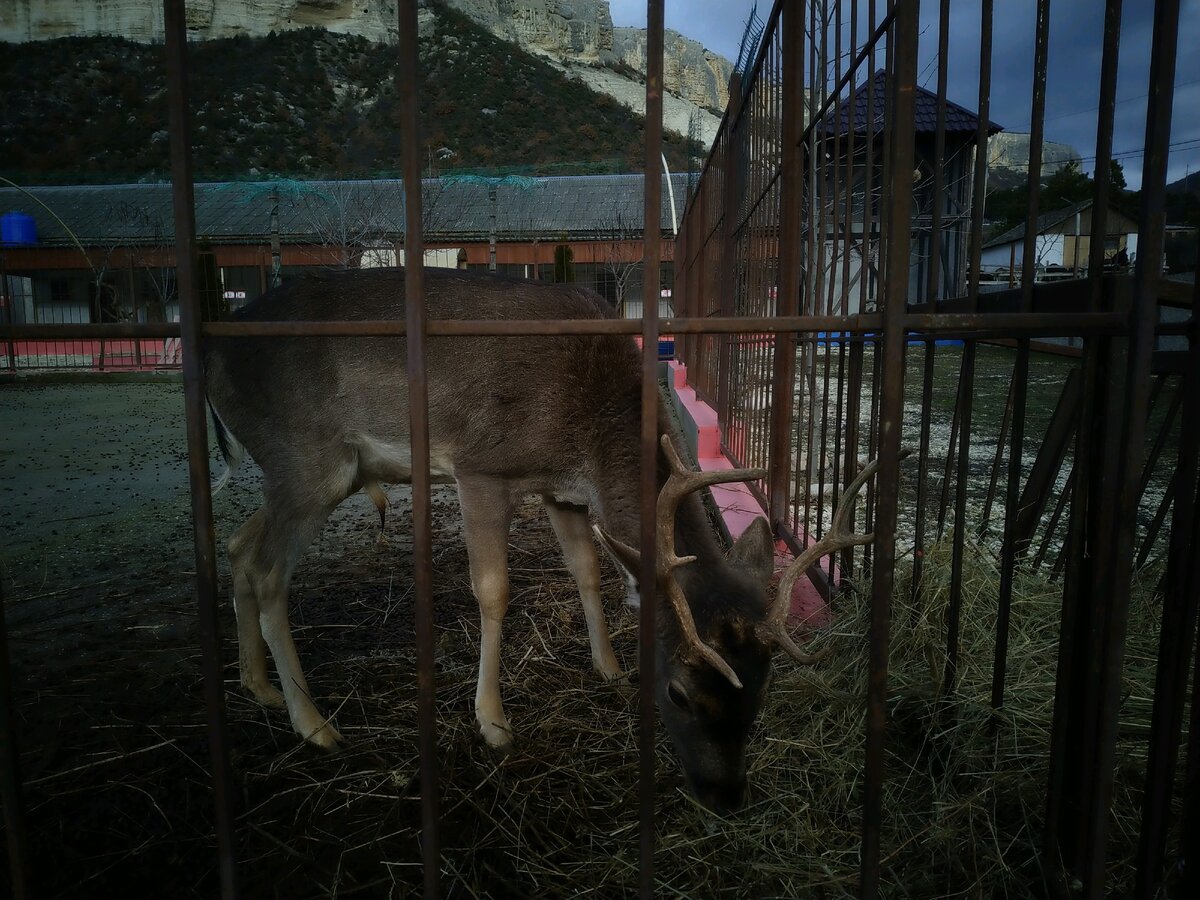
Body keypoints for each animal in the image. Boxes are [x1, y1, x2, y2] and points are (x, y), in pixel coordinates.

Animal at [204, 267, 883, 816]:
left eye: (762, 687)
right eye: (677, 690)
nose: (727, 796)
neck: (587, 425)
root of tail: (211, 359)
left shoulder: (560, 491)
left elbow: (587, 569)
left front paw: (608, 668)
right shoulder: (481, 466)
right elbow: (493, 590)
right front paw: (493, 723)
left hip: (319, 474)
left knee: (237, 546)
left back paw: (260, 687)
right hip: (306, 457)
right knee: (266, 570)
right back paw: (314, 724)